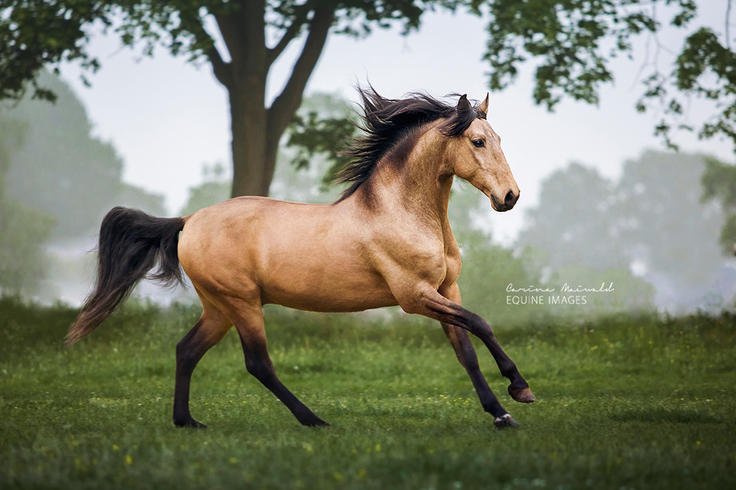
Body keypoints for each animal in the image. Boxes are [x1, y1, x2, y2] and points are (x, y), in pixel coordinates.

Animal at [67, 88, 536, 428]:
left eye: (498, 139)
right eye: (478, 141)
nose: (509, 197)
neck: (399, 212)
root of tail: (187, 221)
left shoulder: (445, 289)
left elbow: (466, 351)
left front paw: (502, 414)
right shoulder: (414, 296)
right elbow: (481, 322)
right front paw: (520, 388)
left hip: (218, 307)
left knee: (186, 350)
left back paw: (188, 422)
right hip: (242, 302)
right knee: (258, 363)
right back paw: (313, 420)